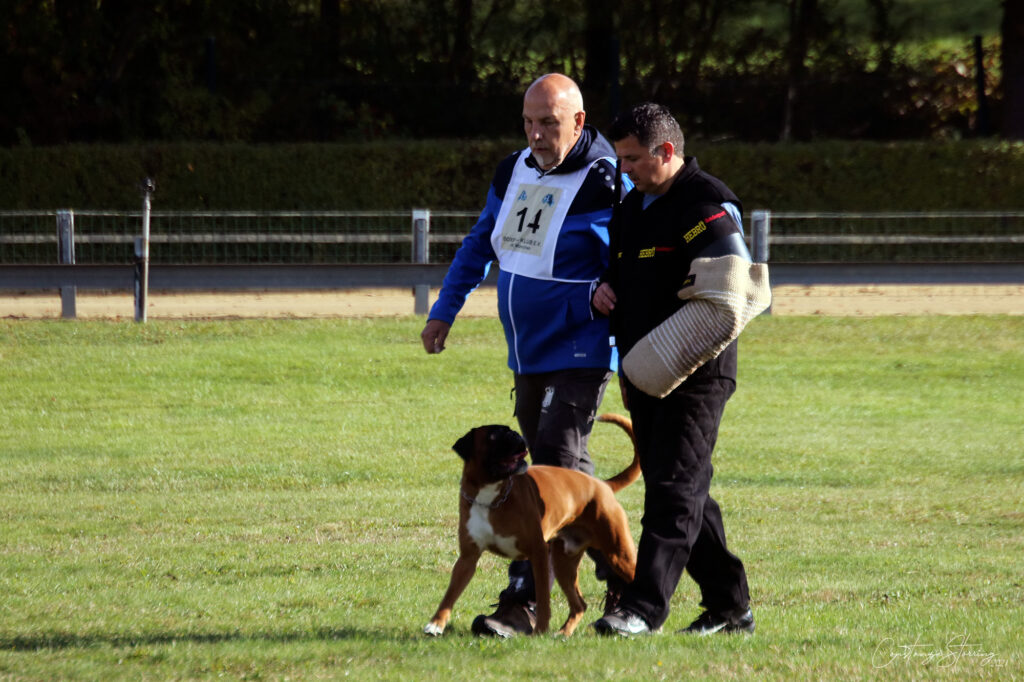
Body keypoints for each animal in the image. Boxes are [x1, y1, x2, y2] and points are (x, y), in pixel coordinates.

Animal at [423, 409, 638, 638]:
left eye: (509, 431)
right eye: (494, 435)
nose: (516, 435)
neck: (490, 495)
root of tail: (601, 484)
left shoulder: (538, 553)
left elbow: (543, 599)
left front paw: (540, 630)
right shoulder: (467, 559)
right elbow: (450, 594)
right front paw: (436, 624)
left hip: (619, 554)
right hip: (564, 564)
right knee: (579, 604)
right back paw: (563, 633)